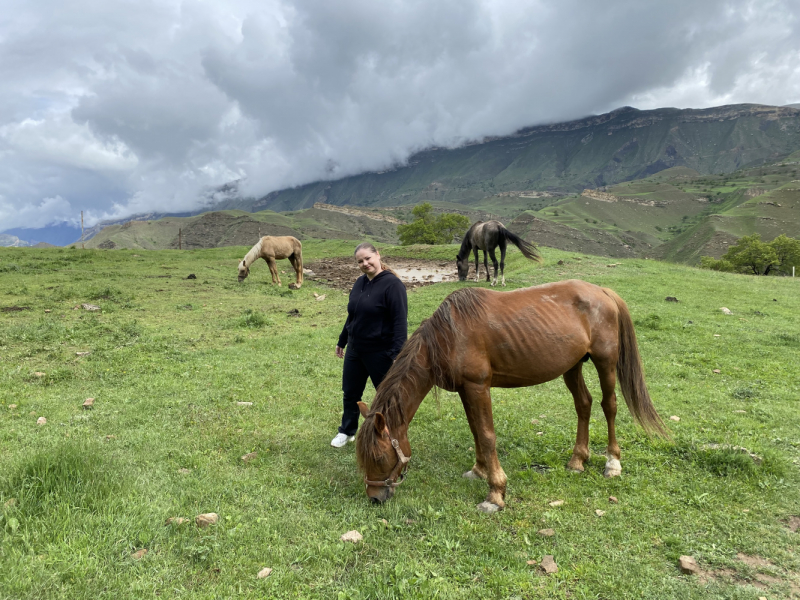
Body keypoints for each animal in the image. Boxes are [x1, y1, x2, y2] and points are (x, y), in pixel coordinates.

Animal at [358, 280, 668, 510]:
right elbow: (475, 430)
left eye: (379, 457)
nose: (374, 498)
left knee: (609, 405)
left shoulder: (478, 387)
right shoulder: (466, 390)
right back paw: (577, 460)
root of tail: (603, 291)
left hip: (605, 363)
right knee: (584, 404)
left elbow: (486, 435)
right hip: (572, 366)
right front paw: (479, 470)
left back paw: (612, 462)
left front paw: (495, 493)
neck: (448, 337)